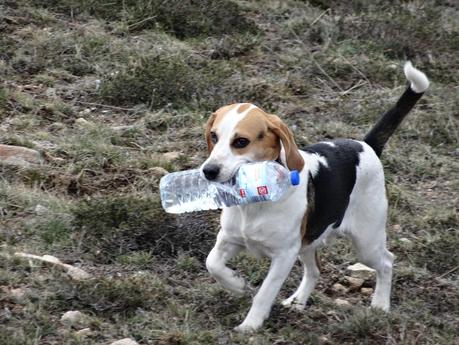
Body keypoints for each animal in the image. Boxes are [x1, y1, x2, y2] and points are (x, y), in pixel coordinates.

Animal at [199, 61, 430, 330]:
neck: (255, 201)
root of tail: (366, 146)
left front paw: (250, 326)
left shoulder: (284, 256)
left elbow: (264, 293)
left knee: (387, 261)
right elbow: (212, 264)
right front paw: (236, 284)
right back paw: (298, 301)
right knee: (315, 270)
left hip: (366, 242)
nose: (208, 171)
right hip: (309, 241)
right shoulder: (229, 239)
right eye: (213, 136)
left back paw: (380, 305)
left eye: (241, 142)